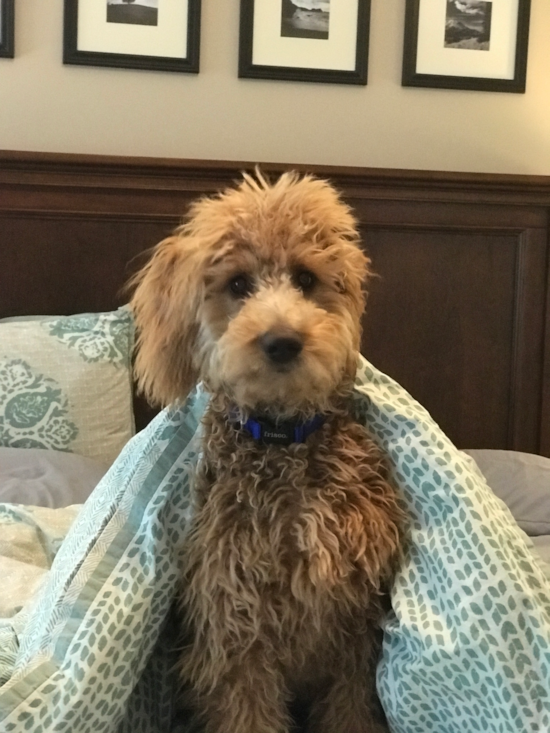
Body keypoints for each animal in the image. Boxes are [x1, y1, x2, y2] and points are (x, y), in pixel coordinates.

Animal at [131, 173, 404, 732]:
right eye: (238, 285)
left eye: (305, 278)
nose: (282, 341)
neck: (284, 442)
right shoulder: (235, 635)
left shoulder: (355, 634)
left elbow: (351, 711)